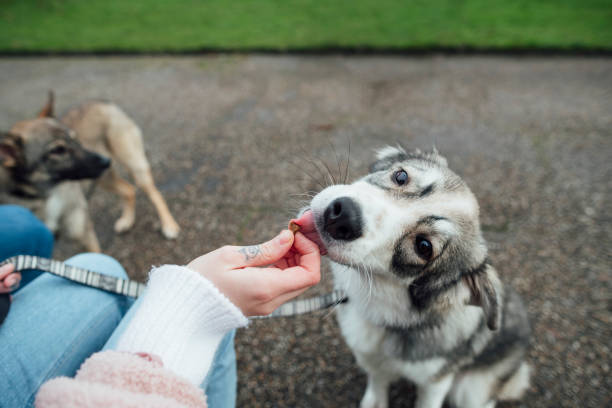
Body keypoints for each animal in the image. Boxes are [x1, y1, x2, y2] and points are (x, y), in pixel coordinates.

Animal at [7, 93, 179, 252]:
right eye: (57, 150)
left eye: (75, 139)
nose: (103, 160)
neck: (45, 194)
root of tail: (101, 101)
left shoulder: (80, 226)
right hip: (103, 177)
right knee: (129, 190)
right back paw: (127, 220)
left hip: (133, 163)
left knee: (154, 194)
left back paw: (169, 225)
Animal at [308, 147, 528, 408]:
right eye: (401, 176)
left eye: (423, 246)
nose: (342, 217)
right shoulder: (370, 357)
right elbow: (377, 381)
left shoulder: (436, 382)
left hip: (470, 388)